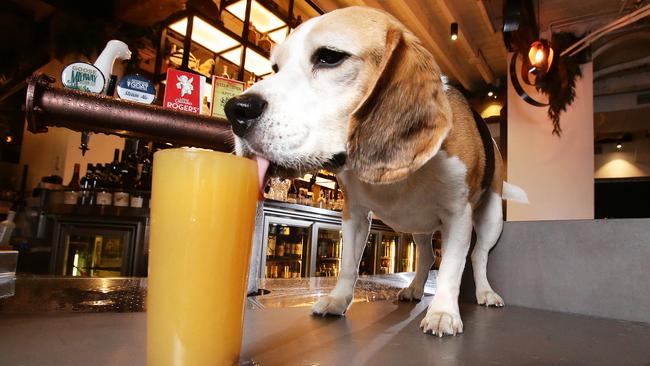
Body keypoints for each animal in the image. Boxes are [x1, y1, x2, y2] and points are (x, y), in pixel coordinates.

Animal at [224, 6, 528, 338]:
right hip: (418, 226)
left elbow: (451, 267)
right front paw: (338, 300)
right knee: (427, 256)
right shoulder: (354, 213)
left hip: (490, 219)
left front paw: (443, 312)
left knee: (477, 256)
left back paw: (485, 292)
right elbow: (348, 264)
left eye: (329, 57)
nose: (236, 111)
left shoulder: (458, 215)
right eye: (276, 67)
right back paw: (415, 287)